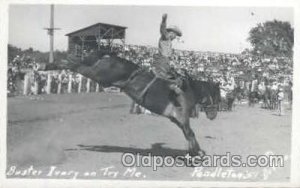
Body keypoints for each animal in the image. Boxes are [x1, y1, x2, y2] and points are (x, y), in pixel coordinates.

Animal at [36, 52, 221, 156]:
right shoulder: (182, 117)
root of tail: (109, 56)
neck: (187, 90)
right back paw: (45, 66)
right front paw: (197, 154)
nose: (213, 115)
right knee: (73, 64)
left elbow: (189, 134)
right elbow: (191, 134)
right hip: (98, 74)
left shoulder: (177, 120)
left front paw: (196, 152)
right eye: (218, 97)